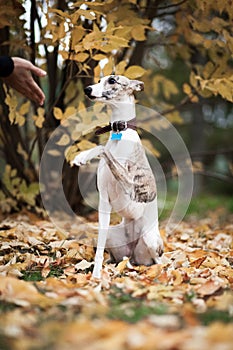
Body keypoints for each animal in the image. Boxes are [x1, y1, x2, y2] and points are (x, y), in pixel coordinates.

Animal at [73, 74, 164, 278]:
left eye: (113, 80)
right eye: (99, 80)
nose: (87, 89)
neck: (119, 132)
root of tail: (133, 254)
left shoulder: (129, 185)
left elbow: (102, 149)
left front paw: (82, 156)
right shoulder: (104, 201)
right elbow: (99, 247)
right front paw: (96, 275)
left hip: (150, 240)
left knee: (160, 262)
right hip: (113, 237)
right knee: (118, 257)